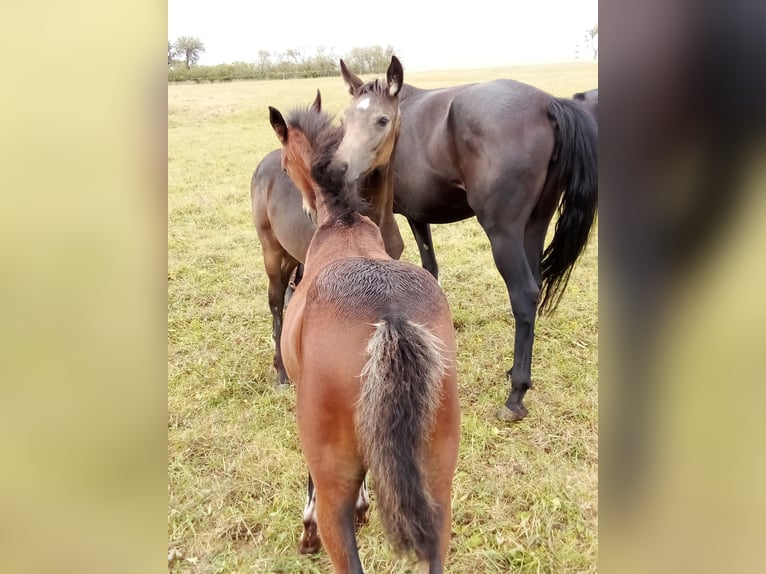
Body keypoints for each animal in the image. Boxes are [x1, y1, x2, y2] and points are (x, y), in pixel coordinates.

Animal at [268, 97, 460, 572]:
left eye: (283, 162)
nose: (303, 206)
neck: (344, 223)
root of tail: (391, 319)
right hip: (437, 486)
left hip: (334, 480)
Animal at [338, 57, 600, 424]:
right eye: (345, 119)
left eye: (381, 120)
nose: (341, 170)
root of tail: (547, 104)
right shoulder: (418, 217)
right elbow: (430, 268)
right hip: (536, 224)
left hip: (503, 232)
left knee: (524, 294)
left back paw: (516, 394)